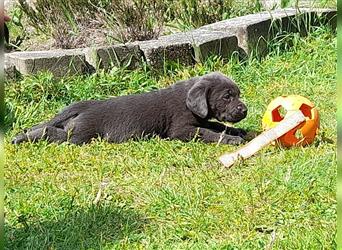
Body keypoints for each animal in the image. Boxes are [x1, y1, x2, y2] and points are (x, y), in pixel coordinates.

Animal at [12, 71, 248, 146]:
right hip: (81, 136)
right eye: (227, 97)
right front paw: (232, 140)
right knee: (50, 132)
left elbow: (218, 126)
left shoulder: (202, 119)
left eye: (238, 94)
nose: (244, 110)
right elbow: (210, 133)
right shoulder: (182, 129)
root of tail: (85, 105)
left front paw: (240, 131)